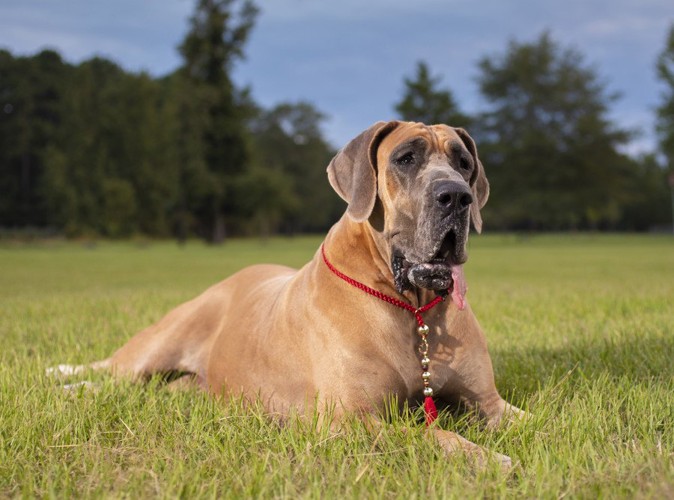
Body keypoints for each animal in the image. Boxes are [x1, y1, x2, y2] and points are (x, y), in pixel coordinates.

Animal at [52, 121, 524, 468]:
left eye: (464, 163)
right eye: (405, 158)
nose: (457, 195)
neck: (414, 309)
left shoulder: (491, 403)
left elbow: (530, 420)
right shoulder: (348, 419)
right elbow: (434, 436)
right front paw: (487, 458)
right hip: (159, 343)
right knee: (110, 373)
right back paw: (65, 381)